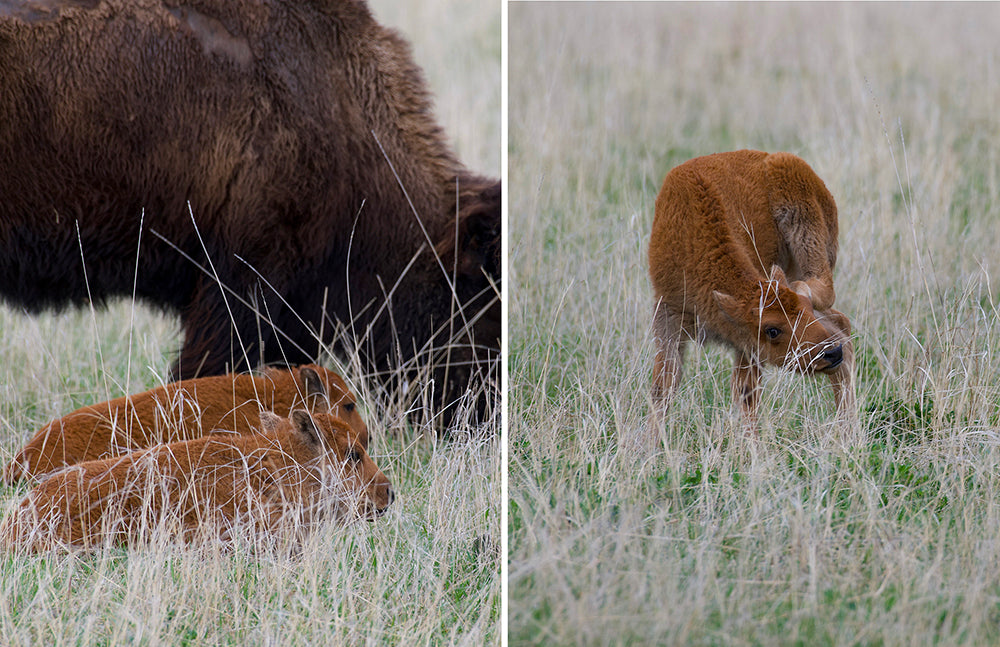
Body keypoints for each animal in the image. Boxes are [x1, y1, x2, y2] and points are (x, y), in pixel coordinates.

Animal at [652, 149, 856, 428]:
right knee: (841, 328)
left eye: (805, 310)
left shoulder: (747, 345)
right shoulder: (668, 315)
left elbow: (746, 393)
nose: (831, 353)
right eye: (772, 330)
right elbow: (664, 387)